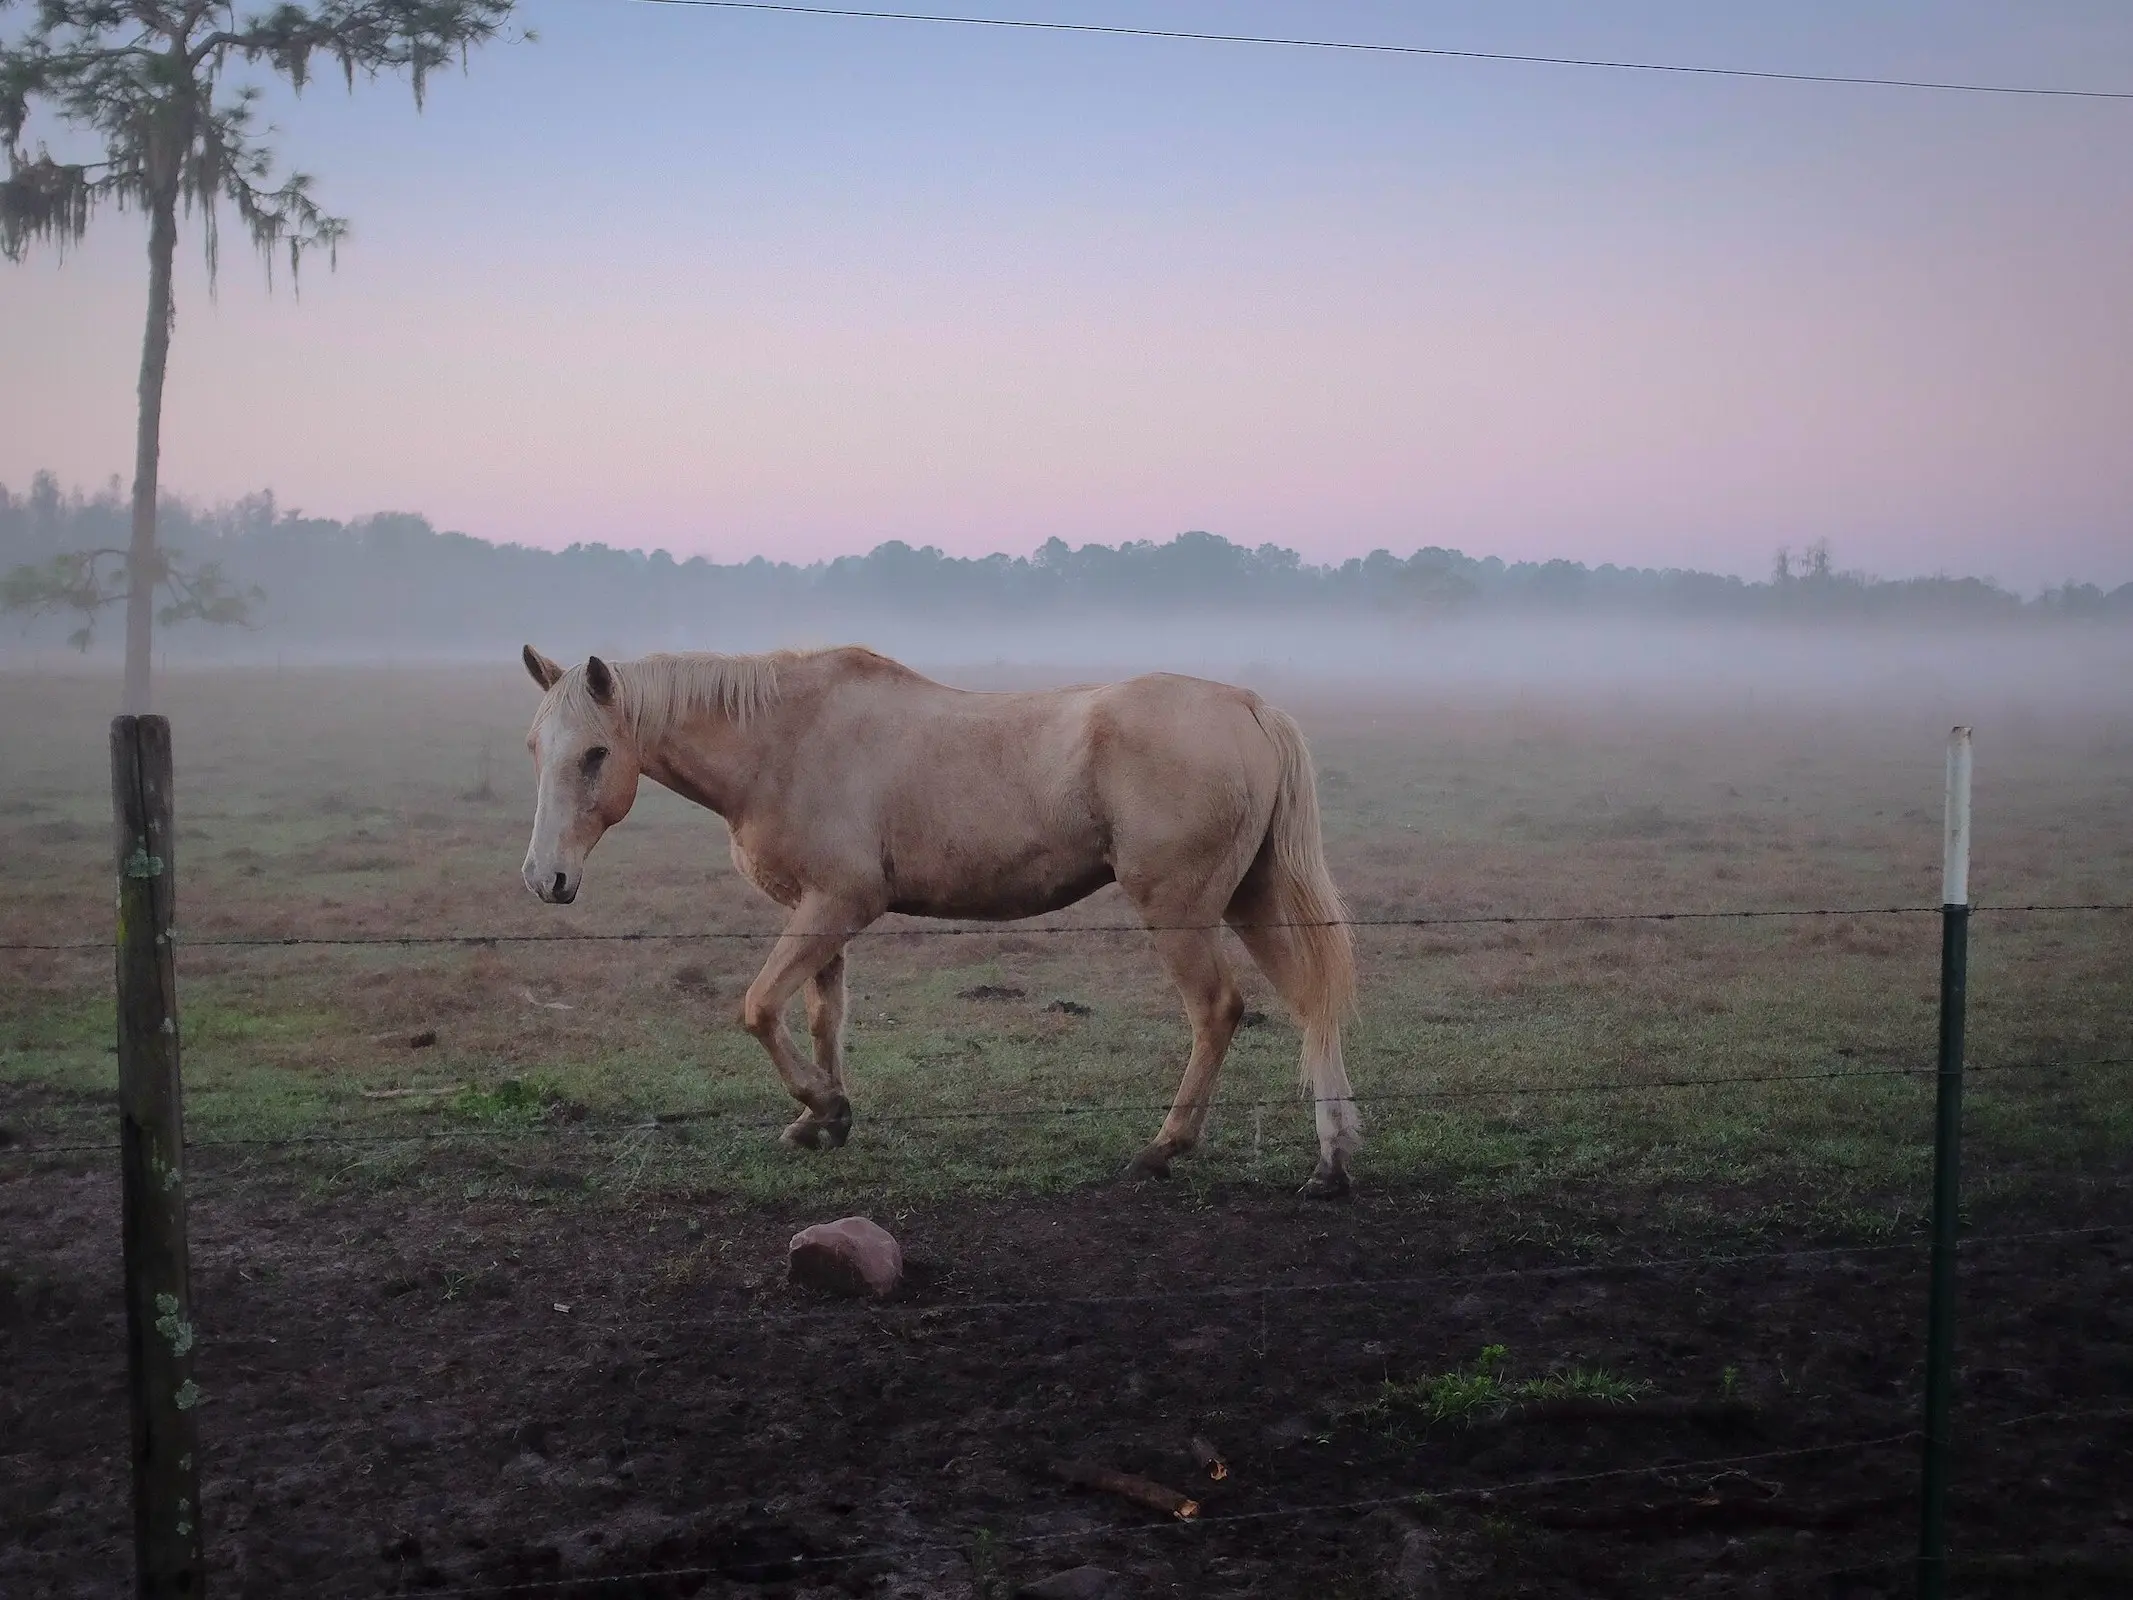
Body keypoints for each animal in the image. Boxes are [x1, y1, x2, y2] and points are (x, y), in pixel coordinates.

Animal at [524, 644, 1373, 1194]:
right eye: (535, 747)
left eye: (595, 753)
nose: (546, 878)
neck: (785, 741)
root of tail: (1250, 708)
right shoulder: (818, 914)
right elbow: (822, 1017)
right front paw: (822, 1120)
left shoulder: (837, 905)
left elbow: (759, 1008)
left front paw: (823, 1108)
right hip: (1251, 900)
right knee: (1311, 1004)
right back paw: (1329, 1161)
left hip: (1180, 911)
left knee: (1217, 1012)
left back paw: (1162, 1149)